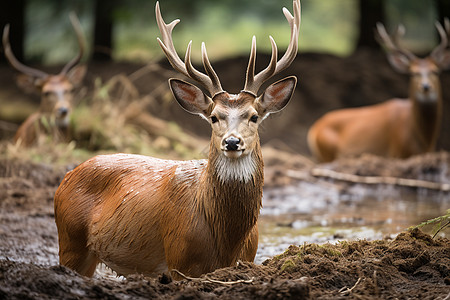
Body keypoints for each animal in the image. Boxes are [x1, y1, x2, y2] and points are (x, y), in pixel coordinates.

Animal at [53, 0, 302, 278]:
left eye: (254, 116)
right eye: (214, 117)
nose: (232, 142)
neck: (227, 241)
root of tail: (67, 176)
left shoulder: (249, 256)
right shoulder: (179, 259)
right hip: (70, 238)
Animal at [306, 19, 450, 162]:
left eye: (435, 71)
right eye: (413, 73)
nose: (425, 87)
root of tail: (314, 129)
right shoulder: (396, 152)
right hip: (327, 151)